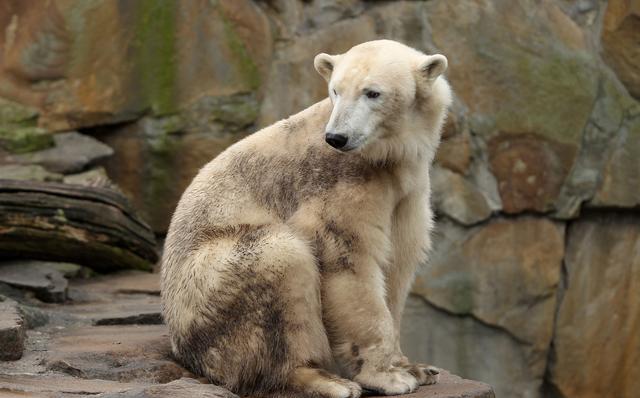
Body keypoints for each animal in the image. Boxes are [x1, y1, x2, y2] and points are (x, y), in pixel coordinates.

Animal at [162, 38, 452, 398]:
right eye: (335, 90)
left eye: (372, 92)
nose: (337, 137)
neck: (387, 156)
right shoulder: (340, 184)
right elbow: (349, 261)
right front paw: (389, 377)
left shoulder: (405, 191)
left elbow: (397, 264)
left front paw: (416, 367)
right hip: (207, 288)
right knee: (282, 260)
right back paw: (325, 381)